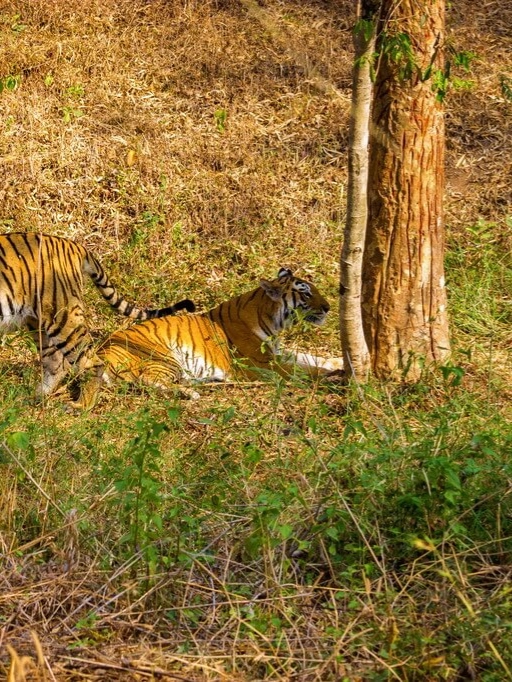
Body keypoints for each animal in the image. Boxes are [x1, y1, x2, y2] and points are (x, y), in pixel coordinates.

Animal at [0, 232, 195, 407]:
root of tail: (73, 244)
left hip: (63, 317)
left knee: (92, 364)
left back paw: (81, 406)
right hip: (38, 322)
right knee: (57, 363)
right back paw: (33, 399)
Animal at [99, 267, 344, 398]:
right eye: (306, 294)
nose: (328, 307)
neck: (274, 322)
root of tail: (100, 352)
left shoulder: (277, 352)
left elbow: (309, 357)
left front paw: (338, 361)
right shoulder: (262, 364)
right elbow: (302, 369)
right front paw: (333, 375)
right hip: (163, 357)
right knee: (147, 380)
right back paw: (190, 393)